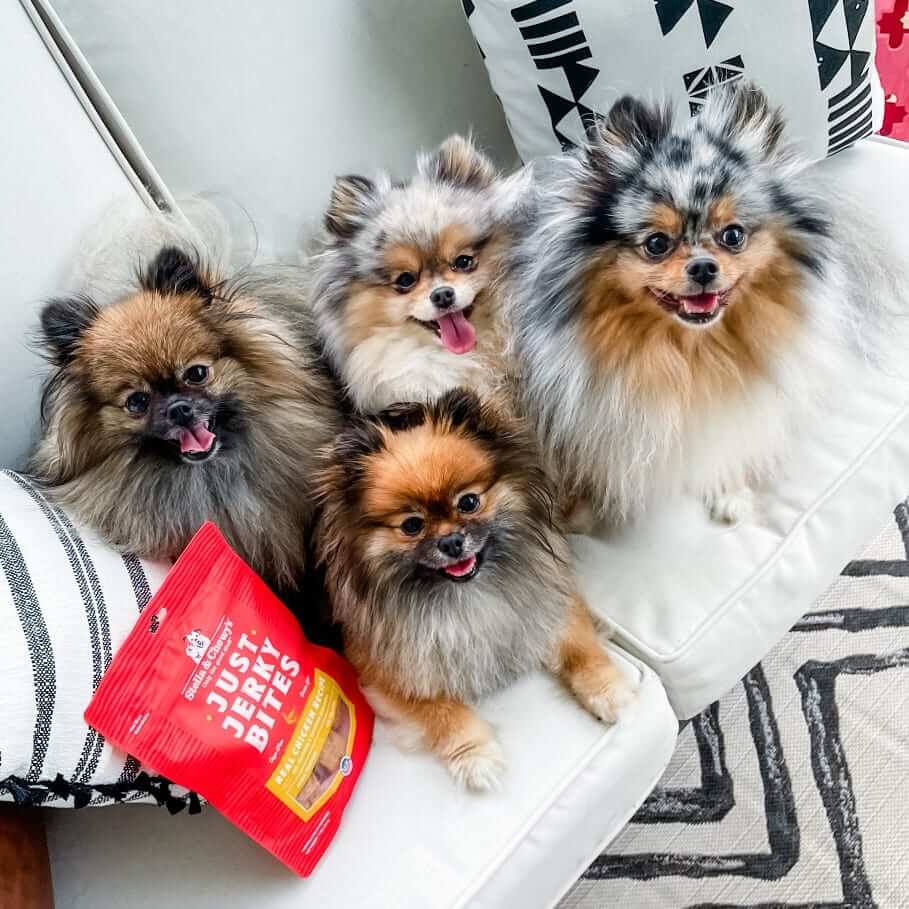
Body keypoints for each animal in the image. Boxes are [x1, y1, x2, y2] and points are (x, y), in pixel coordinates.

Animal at [510, 82, 900, 528]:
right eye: (657, 244)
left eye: (733, 235)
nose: (702, 267)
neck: (692, 351)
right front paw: (577, 511)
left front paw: (728, 492)